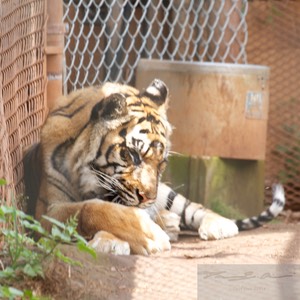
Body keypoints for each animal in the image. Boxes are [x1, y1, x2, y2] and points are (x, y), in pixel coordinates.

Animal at [23, 79, 286, 255]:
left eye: (162, 163)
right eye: (132, 155)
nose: (147, 199)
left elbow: (100, 209)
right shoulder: (47, 210)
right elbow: (90, 209)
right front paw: (121, 239)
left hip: (168, 194)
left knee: (193, 207)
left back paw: (218, 224)